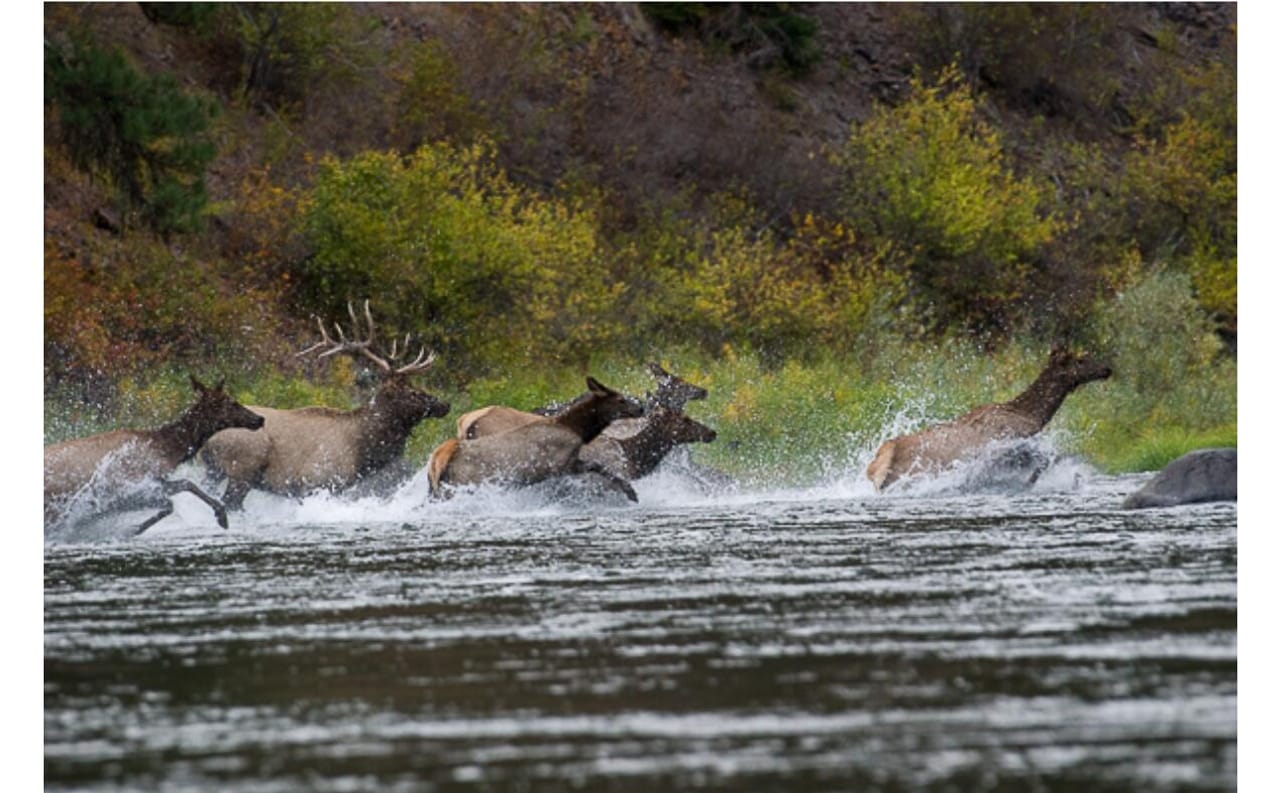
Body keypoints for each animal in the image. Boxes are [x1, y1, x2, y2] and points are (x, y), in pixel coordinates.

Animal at [44, 376, 265, 535]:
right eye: (231, 402)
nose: (260, 419)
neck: (168, 450)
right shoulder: (130, 486)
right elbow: (169, 504)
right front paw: (132, 530)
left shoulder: (153, 481)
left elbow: (186, 484)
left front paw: (222, 517)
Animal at [201, 301, 450, 509]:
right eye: (413, 392)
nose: (444, 404)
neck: (362, 450)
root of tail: (208, 440)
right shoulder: (315, 482)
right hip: (242, 471)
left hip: (213, 471)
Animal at [426, 376, 645, 500]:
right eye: (620, 399)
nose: (641, 408)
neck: (578, 430)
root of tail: (436, 463)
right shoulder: (560, 465)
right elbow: (600, 467)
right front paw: (631, 493)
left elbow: (603, 469)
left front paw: (631, 492)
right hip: (462, 485)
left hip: (435, 488)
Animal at [865, 345, 1112, 491]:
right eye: (1081, 360)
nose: (1107, 368)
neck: (1031, 415)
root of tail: (875, 464)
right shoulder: (1007, 444)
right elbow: (1047, 459)